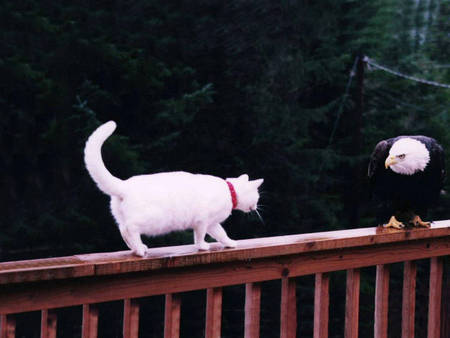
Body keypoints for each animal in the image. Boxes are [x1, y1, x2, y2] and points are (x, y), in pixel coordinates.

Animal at [84, 121, 264, 256]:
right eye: (257, 198)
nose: (256, 206)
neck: (229, 192)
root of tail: (124, 185)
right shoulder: (202, 221)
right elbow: (199, 236)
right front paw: (202, 246)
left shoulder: (212, 223)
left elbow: (222, 233)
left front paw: (230, 243)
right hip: (152, 219)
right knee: (130, 228)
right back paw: (140, 250)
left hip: (123, 217)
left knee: (122, 229)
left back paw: (136, 248)